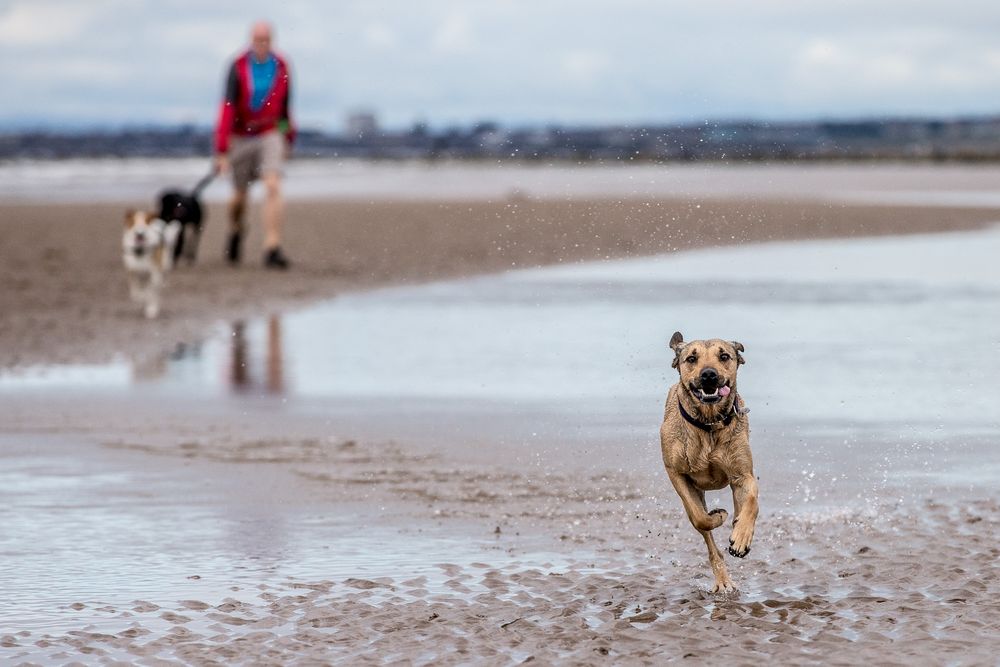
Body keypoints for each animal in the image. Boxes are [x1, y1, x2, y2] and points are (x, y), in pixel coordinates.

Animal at [656, 332, 756, 592]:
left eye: (724, 356)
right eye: (692, 358)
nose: (709, 374)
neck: (709, 424)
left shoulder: (743, 473)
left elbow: (752, 498)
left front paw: (741, 537)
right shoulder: (675, 472)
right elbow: (700, 517)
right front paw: (717, 516)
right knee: (709, 542)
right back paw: (723, 580)